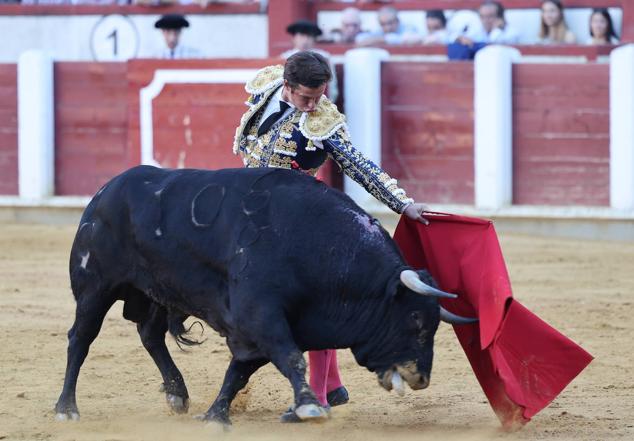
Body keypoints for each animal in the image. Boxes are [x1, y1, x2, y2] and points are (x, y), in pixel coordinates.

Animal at [54, 165, 474, 422]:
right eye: (415, 320)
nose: (420, 378)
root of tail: (106, 189)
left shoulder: (265, 326)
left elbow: (241, 369)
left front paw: (216, 414)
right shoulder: (260, 314)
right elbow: (291, 359)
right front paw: (309, 408)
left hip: (157, 291)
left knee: (150, 335)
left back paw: (177, 394)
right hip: (94, 286)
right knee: (81, 338)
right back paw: (66, 408)